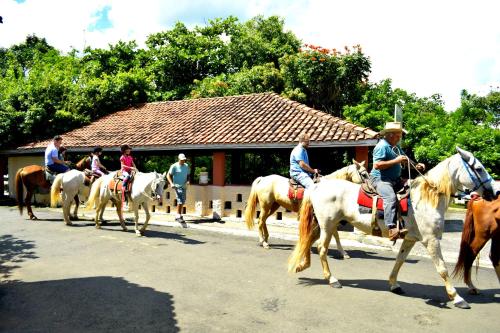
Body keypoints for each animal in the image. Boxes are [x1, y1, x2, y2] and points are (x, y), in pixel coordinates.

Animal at [290, 147, 496, 308]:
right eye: (478, 168)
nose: (495, 191)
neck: (426, 198)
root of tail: (317, 186)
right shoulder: (431, 241)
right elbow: (442, 269)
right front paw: (457, 297)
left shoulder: (410, 239)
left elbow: (400, 260)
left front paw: (394, 284)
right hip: (327, 224)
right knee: (321, 248)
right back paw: (332, 279)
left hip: (322, 224)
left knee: (309, 241)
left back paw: (302, 265)